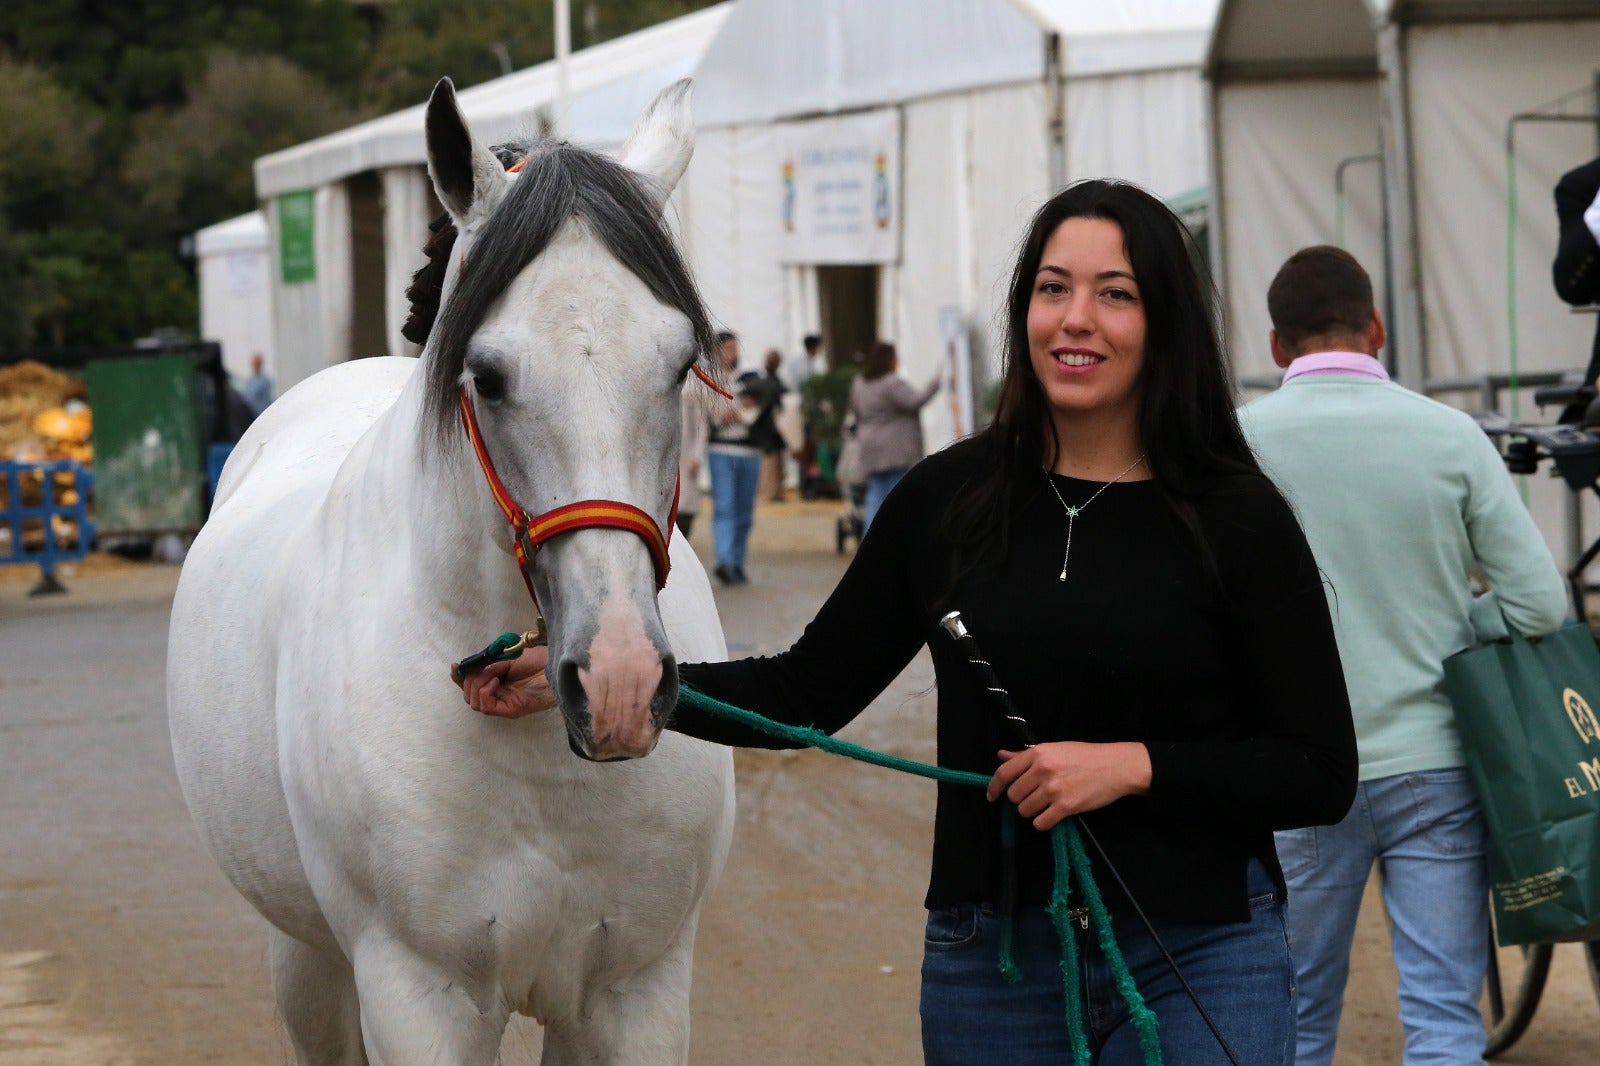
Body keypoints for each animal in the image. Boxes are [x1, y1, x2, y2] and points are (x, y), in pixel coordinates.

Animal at [164, 78, 736, 1056]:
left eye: (679, 365)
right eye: (489, 375)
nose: (620, 681)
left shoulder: (635, 994)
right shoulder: (417, 996)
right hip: (307, 962)